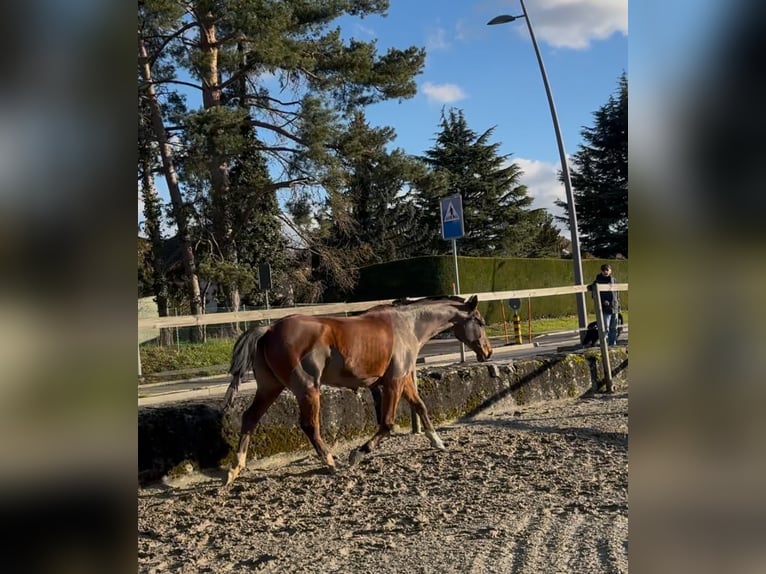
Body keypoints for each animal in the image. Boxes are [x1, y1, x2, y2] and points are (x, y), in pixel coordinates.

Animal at [225, 294, 496, 488]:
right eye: (480, 322)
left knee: (250, 418)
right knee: (309, 425)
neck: (407, 325)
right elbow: (387, 423)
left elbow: (420, 406)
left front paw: (438, 442)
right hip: (308, 388)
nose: (488, 352)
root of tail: (269, 330)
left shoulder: (404, 379)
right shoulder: (393, 382)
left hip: (271, 387)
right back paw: (330, 461)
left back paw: (235, 469)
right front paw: (357, 454)